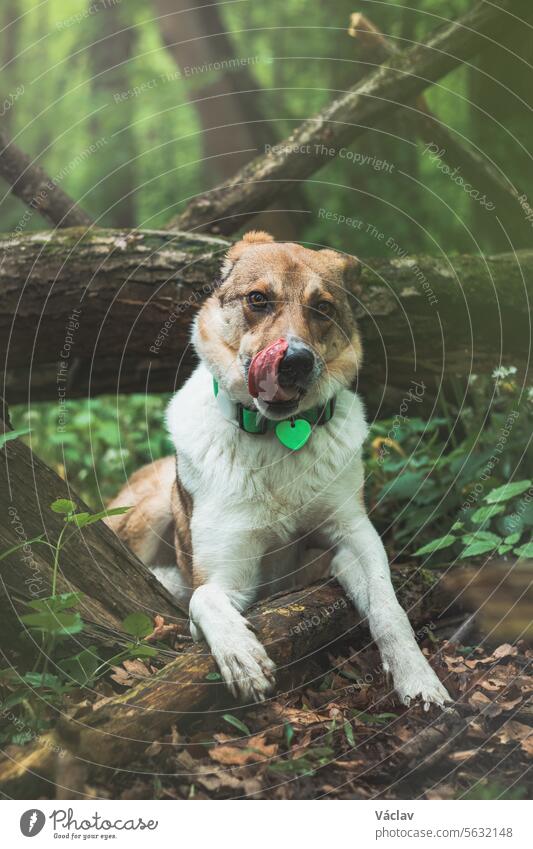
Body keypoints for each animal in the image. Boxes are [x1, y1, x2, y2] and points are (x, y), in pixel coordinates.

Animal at [107, 229, 448, 704]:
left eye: (322, 307)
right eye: (257, 299)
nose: (295, 362)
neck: (277, 433)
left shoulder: (355, 536)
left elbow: (388, 606)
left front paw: (419, 680)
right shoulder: (227, 576)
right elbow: (202, 598)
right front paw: (242, 658)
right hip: (148, 510)